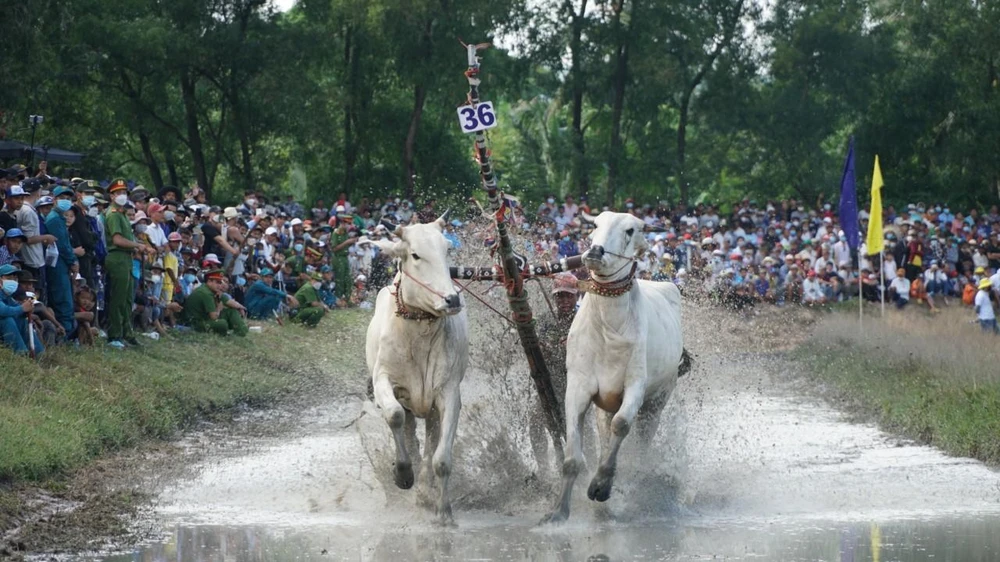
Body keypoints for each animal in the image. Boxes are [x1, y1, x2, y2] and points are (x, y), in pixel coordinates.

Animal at [367, 216, 468, 526]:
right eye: (415, 255)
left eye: (447, 249)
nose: (452, 300)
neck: (418, 330)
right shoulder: (384, 380)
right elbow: (394, 416)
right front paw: (402, 473)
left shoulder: (448, 393)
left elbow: (441, 459)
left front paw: (443, 512)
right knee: (408, 430)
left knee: (430, 441)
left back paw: (425, 490)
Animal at [542, 211, 687, 523]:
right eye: (595, 224)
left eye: (630, 230)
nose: (596, 252)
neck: (609, 327)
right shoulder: (578, 387)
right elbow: (572, 457)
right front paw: (558, 511)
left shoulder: (636, 386)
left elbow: (622, 425)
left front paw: (601, 486)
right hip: (604, 407)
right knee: (606, 434)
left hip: (658, 400)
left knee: (641, 440)